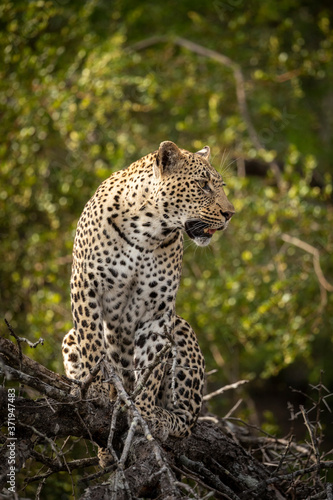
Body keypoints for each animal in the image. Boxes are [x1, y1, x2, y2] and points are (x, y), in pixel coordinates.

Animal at [62, 140, 233, 446]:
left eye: (220, 186)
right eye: (202, 185)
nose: (230, 214)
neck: (147, 230)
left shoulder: (158, 310)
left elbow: (150, 369)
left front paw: (142, 413)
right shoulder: (85, 284)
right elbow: (92, 343)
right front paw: (93, 390)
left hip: (181, 328)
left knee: (187, 419)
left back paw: (162, 417)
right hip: (69, 338)